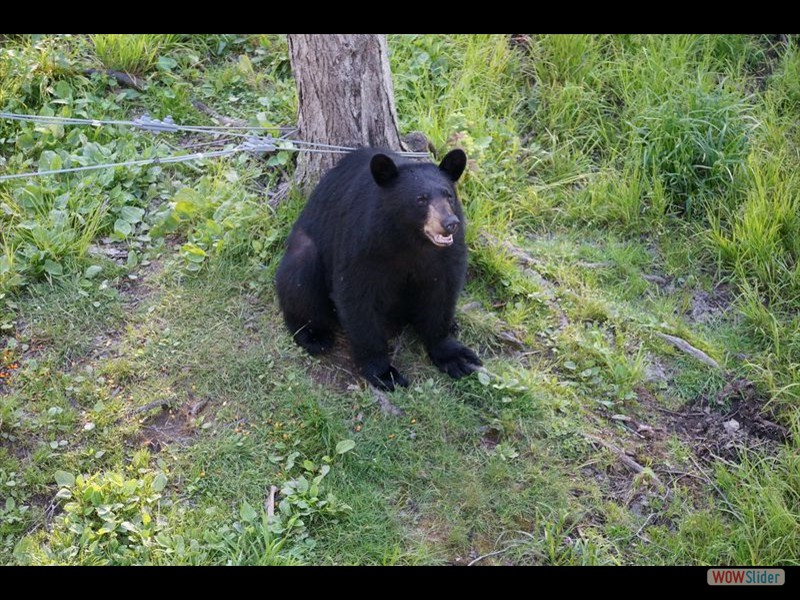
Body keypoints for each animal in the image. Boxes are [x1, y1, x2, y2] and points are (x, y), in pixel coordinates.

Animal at [275, 146, 481, 391]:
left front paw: (456, 356)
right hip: (304, 251)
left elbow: (442, 293)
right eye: (421, 199)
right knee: (300, 276)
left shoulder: (447, 254)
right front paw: (384, 372)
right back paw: (314, 335)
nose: (450, 223)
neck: (411, 239)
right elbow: (356, 296)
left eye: (448, 195)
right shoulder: (365, 241)